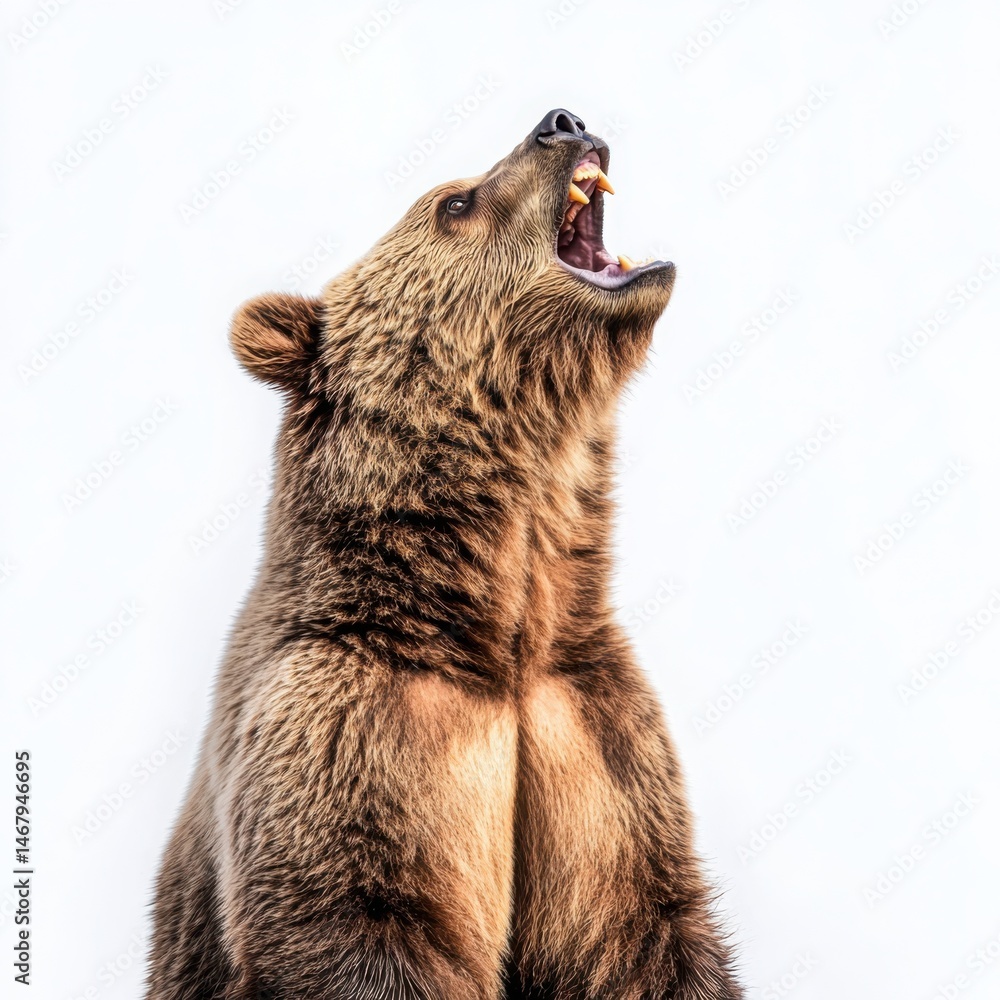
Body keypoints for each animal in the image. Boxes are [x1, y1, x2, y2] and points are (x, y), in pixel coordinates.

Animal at [146, 108, 744, 999]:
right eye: (454, 202)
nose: (562, 121)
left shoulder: (593, 734)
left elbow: (639, 929)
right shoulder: (351, 725)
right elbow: (354, 919)